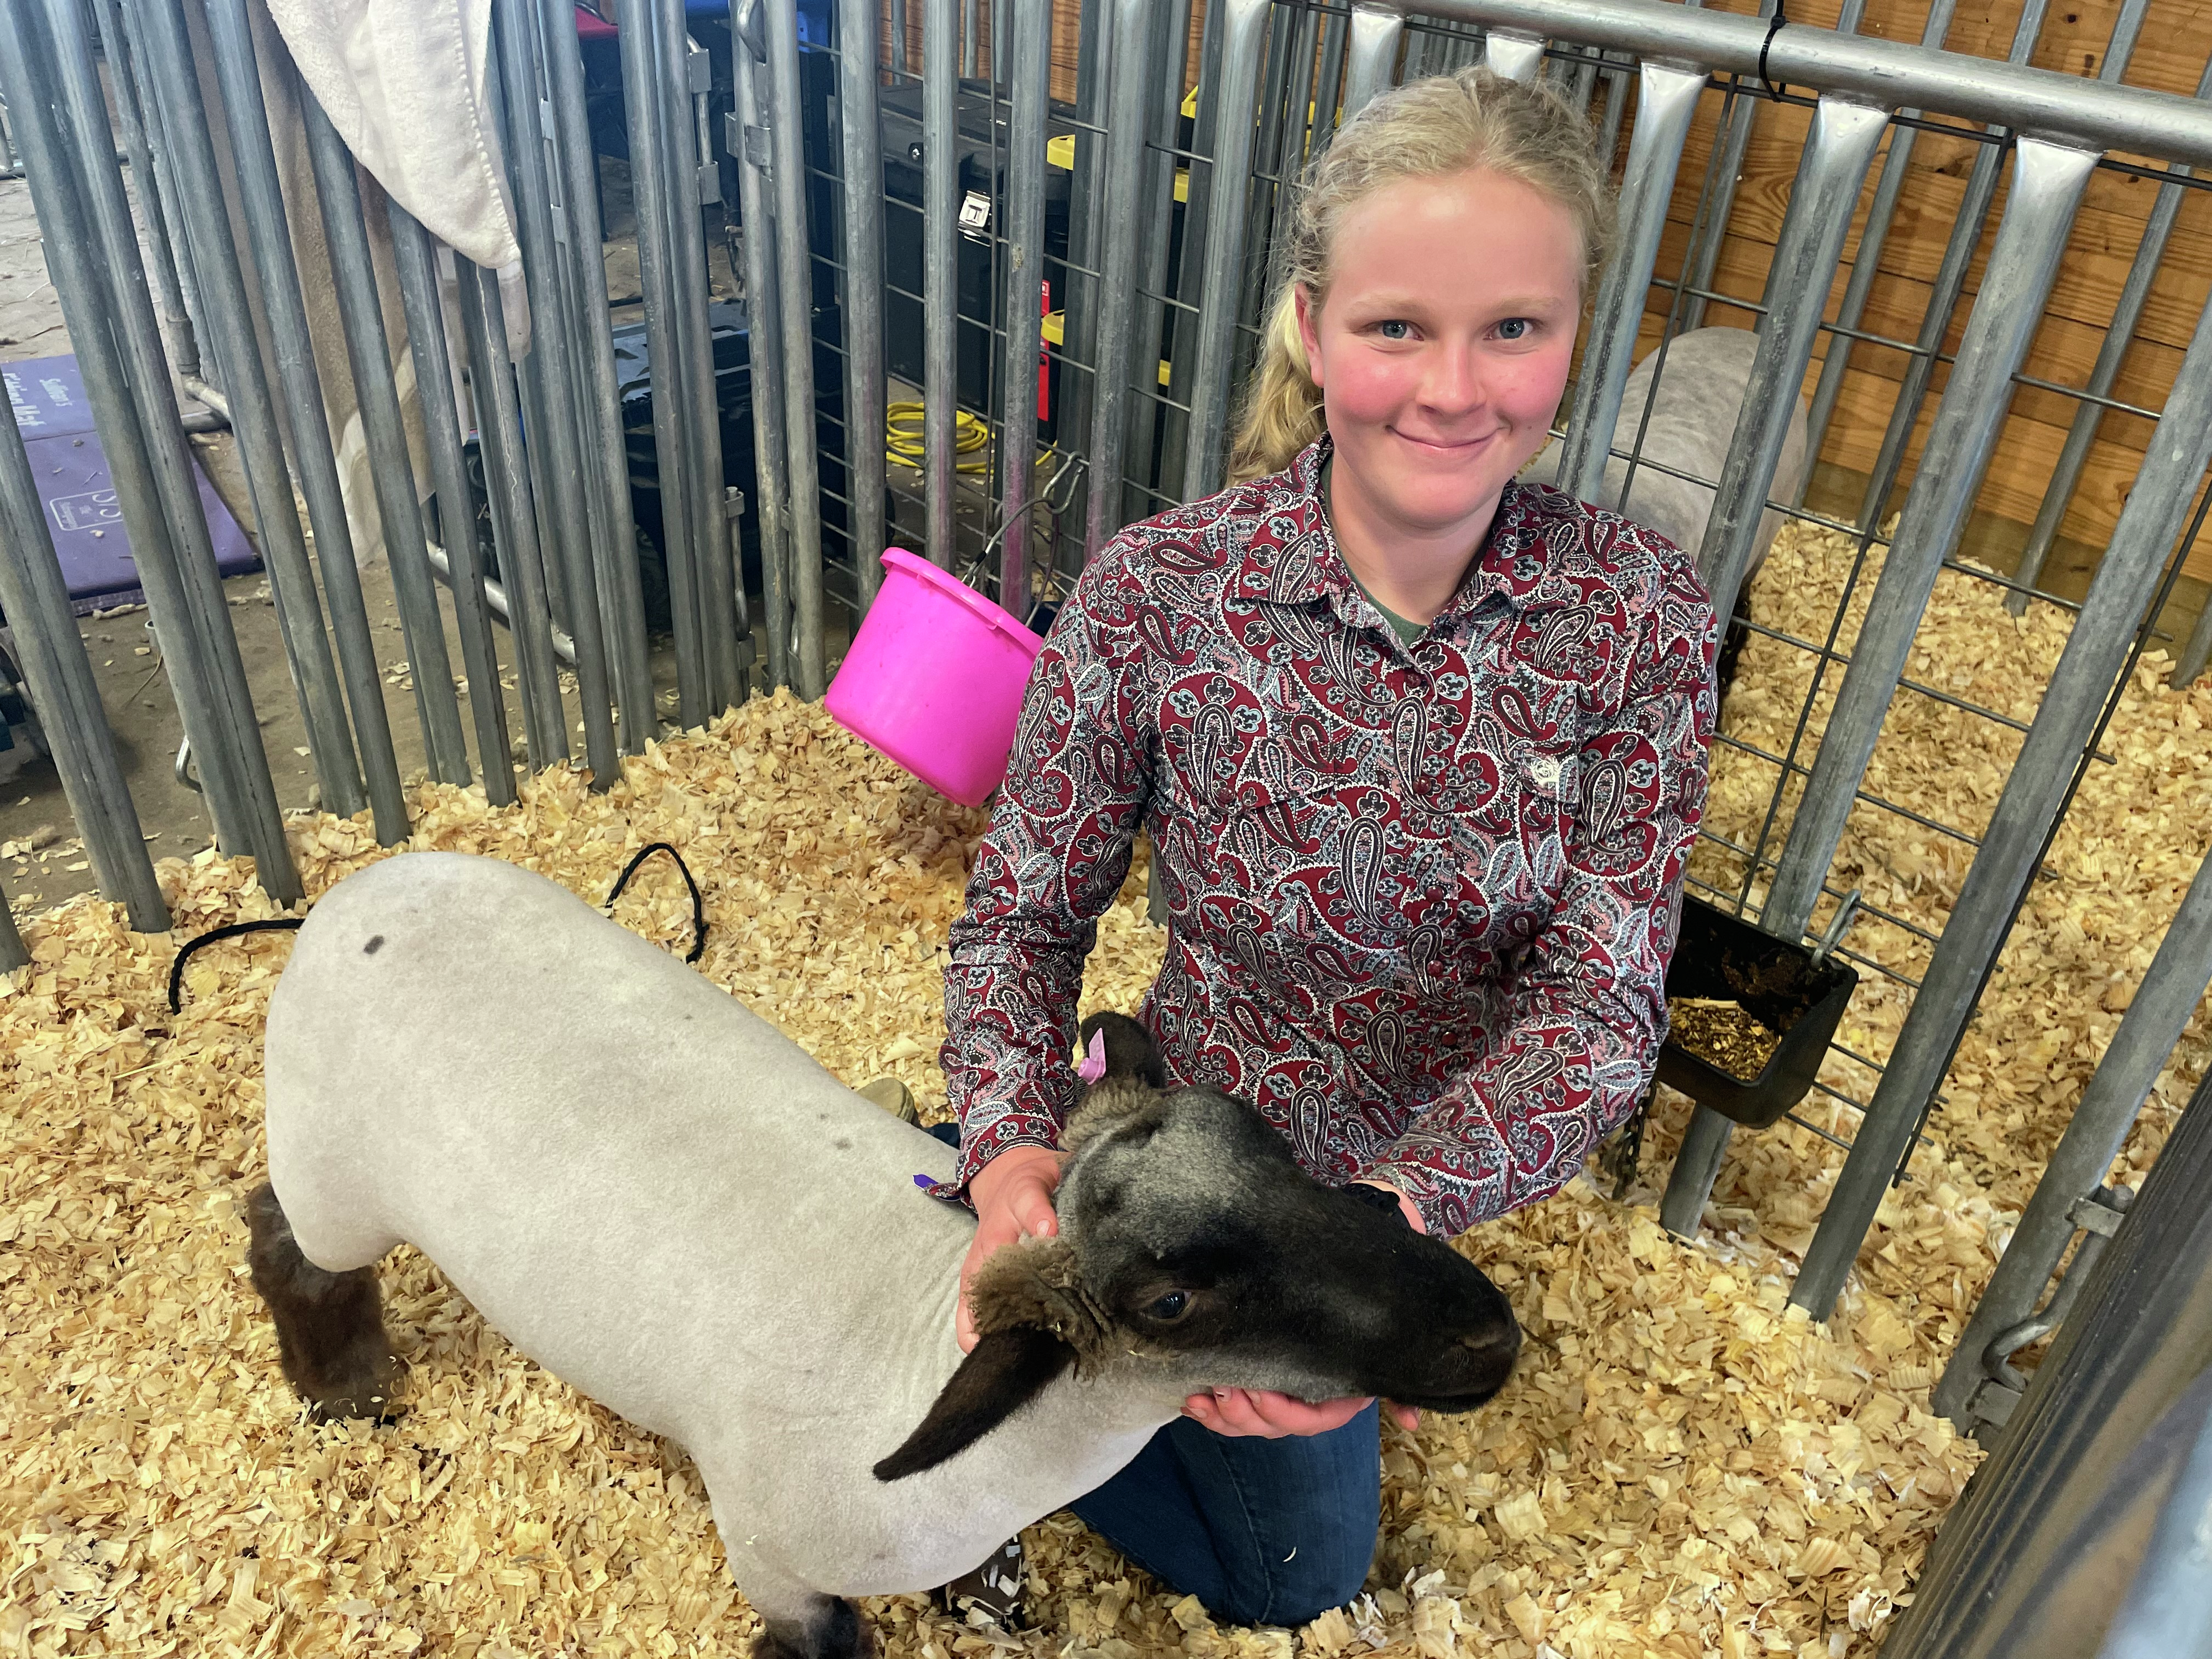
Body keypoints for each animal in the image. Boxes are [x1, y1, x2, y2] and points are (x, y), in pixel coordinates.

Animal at [247, 858, 1522, 1659]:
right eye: (1169, 1300)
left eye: (1269, 1139)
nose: (1489, 1334)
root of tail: (347, 895)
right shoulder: (775, 1567)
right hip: (334, 1171)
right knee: (283, 1242)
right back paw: (344, 1387)